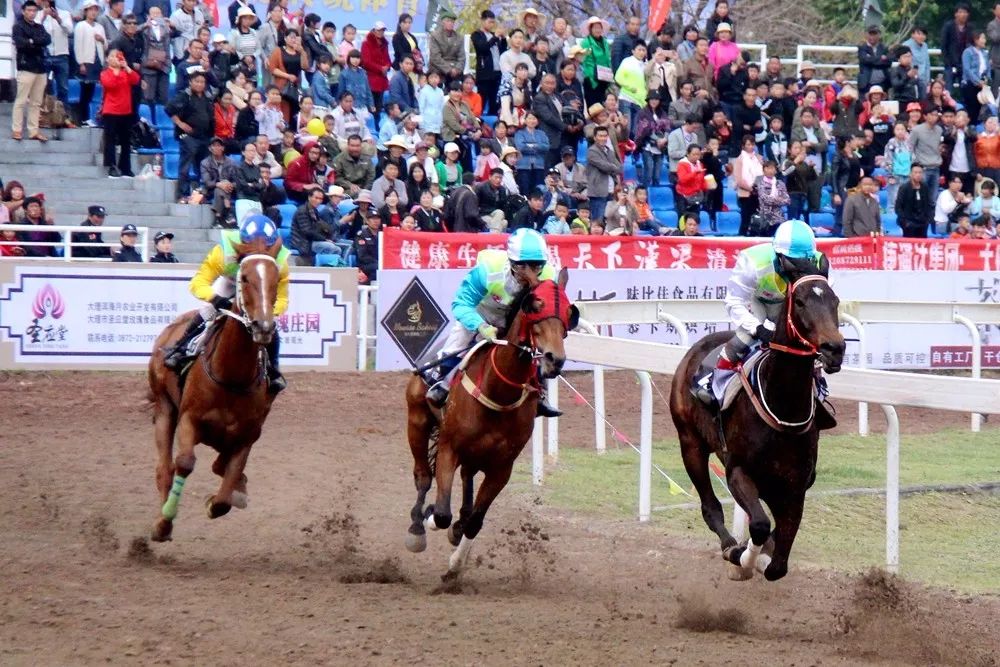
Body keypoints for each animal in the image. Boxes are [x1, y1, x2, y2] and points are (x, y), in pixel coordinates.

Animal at [146, 239, 284, 544]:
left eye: (276, 279)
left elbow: (227, 486)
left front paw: (226, 497)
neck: (231, 375)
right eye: (244, 278)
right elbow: (185, 463)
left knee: (219, 465)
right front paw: (164, 522)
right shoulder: (189, 419)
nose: (263, 327)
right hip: (164, 407)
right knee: (165, 467)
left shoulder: (247, 435)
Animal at [404, 266, 580, 580]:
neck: (498, 390)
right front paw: (430, 518)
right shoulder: (449, 448)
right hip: (417, 420)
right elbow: (441, 512)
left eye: (569, 311)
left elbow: (476, 520)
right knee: (423, 475)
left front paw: (455, 565)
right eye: (534, 306)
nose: (554, 359)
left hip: (476, 455)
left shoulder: (502, 467)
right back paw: (416, 527)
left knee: (466, 480)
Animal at [672, 253, 844, 580]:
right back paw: (730, 546)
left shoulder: (797, 484)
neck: (783, 408)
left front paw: (763, 557)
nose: (835, 348)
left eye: (835, 300)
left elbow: (778, 562)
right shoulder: (738, 470)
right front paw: (743, 560)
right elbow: (760, 526)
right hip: (690, 444)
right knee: (710, 507)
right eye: (800, 302)